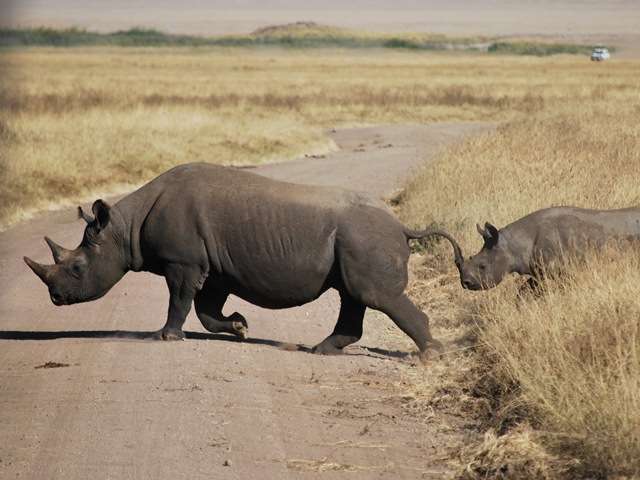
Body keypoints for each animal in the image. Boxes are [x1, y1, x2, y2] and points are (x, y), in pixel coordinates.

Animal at [25, 163, 450, 354]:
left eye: (78, 268)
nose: (55, 299)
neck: (122, 228)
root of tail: (402, 226)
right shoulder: (210, 269)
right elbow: (205, 311)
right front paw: (241, 327)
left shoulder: (183, 262)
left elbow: (180, 301)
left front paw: (166, 337)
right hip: (358, 239)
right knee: (353, 295)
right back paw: (320, 351)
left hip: (365, 237)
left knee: (373, 295)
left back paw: (429, 356)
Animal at [452, 205, 640, 288]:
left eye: (482, 266)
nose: (465, 283)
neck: (513, 244)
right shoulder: (539, 272)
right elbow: (524, 291)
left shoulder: (560, 272)